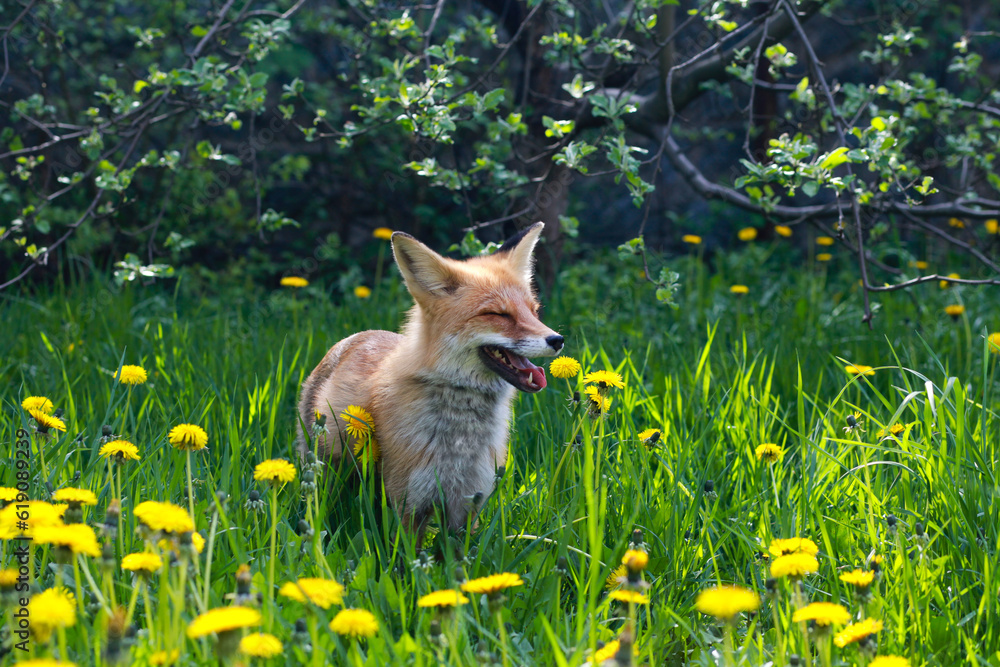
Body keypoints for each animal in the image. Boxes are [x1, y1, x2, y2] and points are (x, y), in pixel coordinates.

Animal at [297, 222, 563, 534]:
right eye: (497, 314)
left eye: (534, 312)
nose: (557, 340)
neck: (461, 438)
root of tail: (358, 335)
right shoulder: (409, 502)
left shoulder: (468, 503)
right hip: (327, 471)